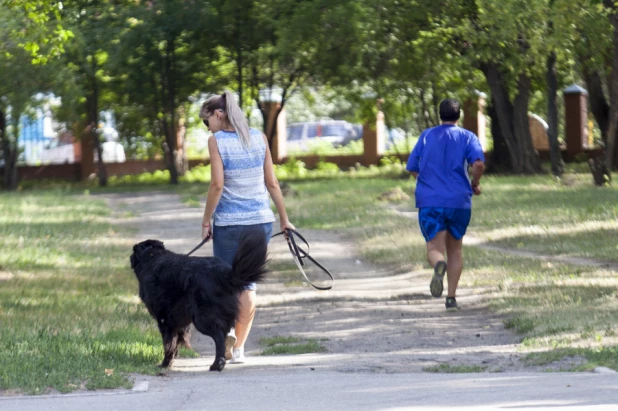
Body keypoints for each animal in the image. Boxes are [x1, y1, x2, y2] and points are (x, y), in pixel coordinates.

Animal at [129, 233, 266, 372]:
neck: (152, 256)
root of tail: (224, 274)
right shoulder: (178, 321)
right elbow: (176, 343)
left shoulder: (164, 320)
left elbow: (168, 344)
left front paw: (165, 364)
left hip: (203, 319)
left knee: (219, 337)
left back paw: (217, 364)